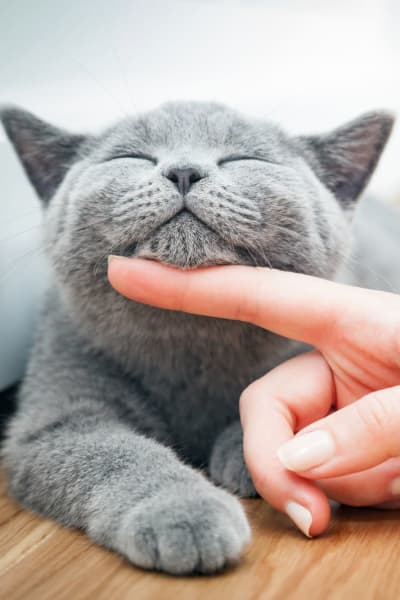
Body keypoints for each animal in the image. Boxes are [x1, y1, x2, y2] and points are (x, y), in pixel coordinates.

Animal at [0, 103, 396, 576]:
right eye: (131, 156)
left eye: (244, 158)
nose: (184, 171)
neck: (190, 343)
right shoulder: (56, 415)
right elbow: (114, 453)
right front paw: (182, 511)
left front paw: (245, 452)